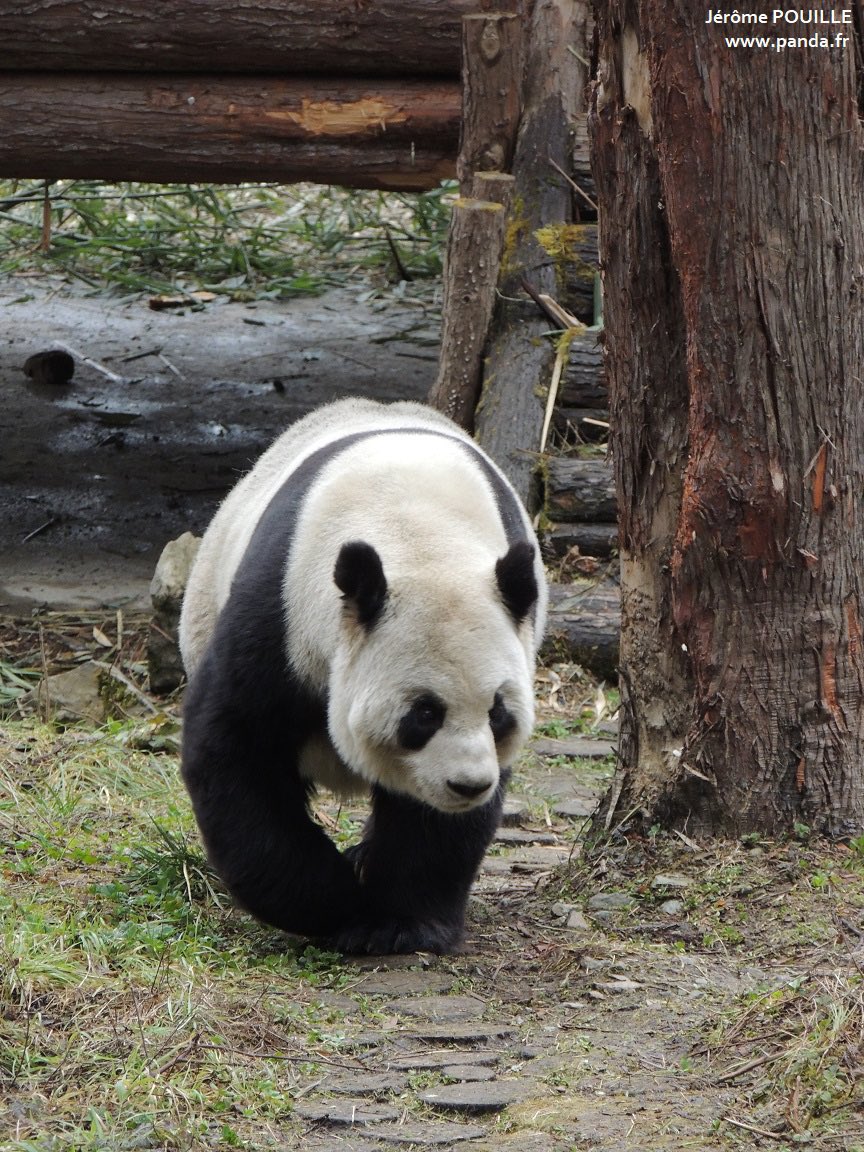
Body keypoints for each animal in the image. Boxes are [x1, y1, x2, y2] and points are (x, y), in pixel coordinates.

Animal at [179, 397, 547, 955]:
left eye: (498, 713)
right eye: (424, 713)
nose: (468, 785)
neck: (417, 532)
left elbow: (431, 819)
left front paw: (398, 923)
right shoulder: (281, 612)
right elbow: (236, 748)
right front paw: (335, 904)